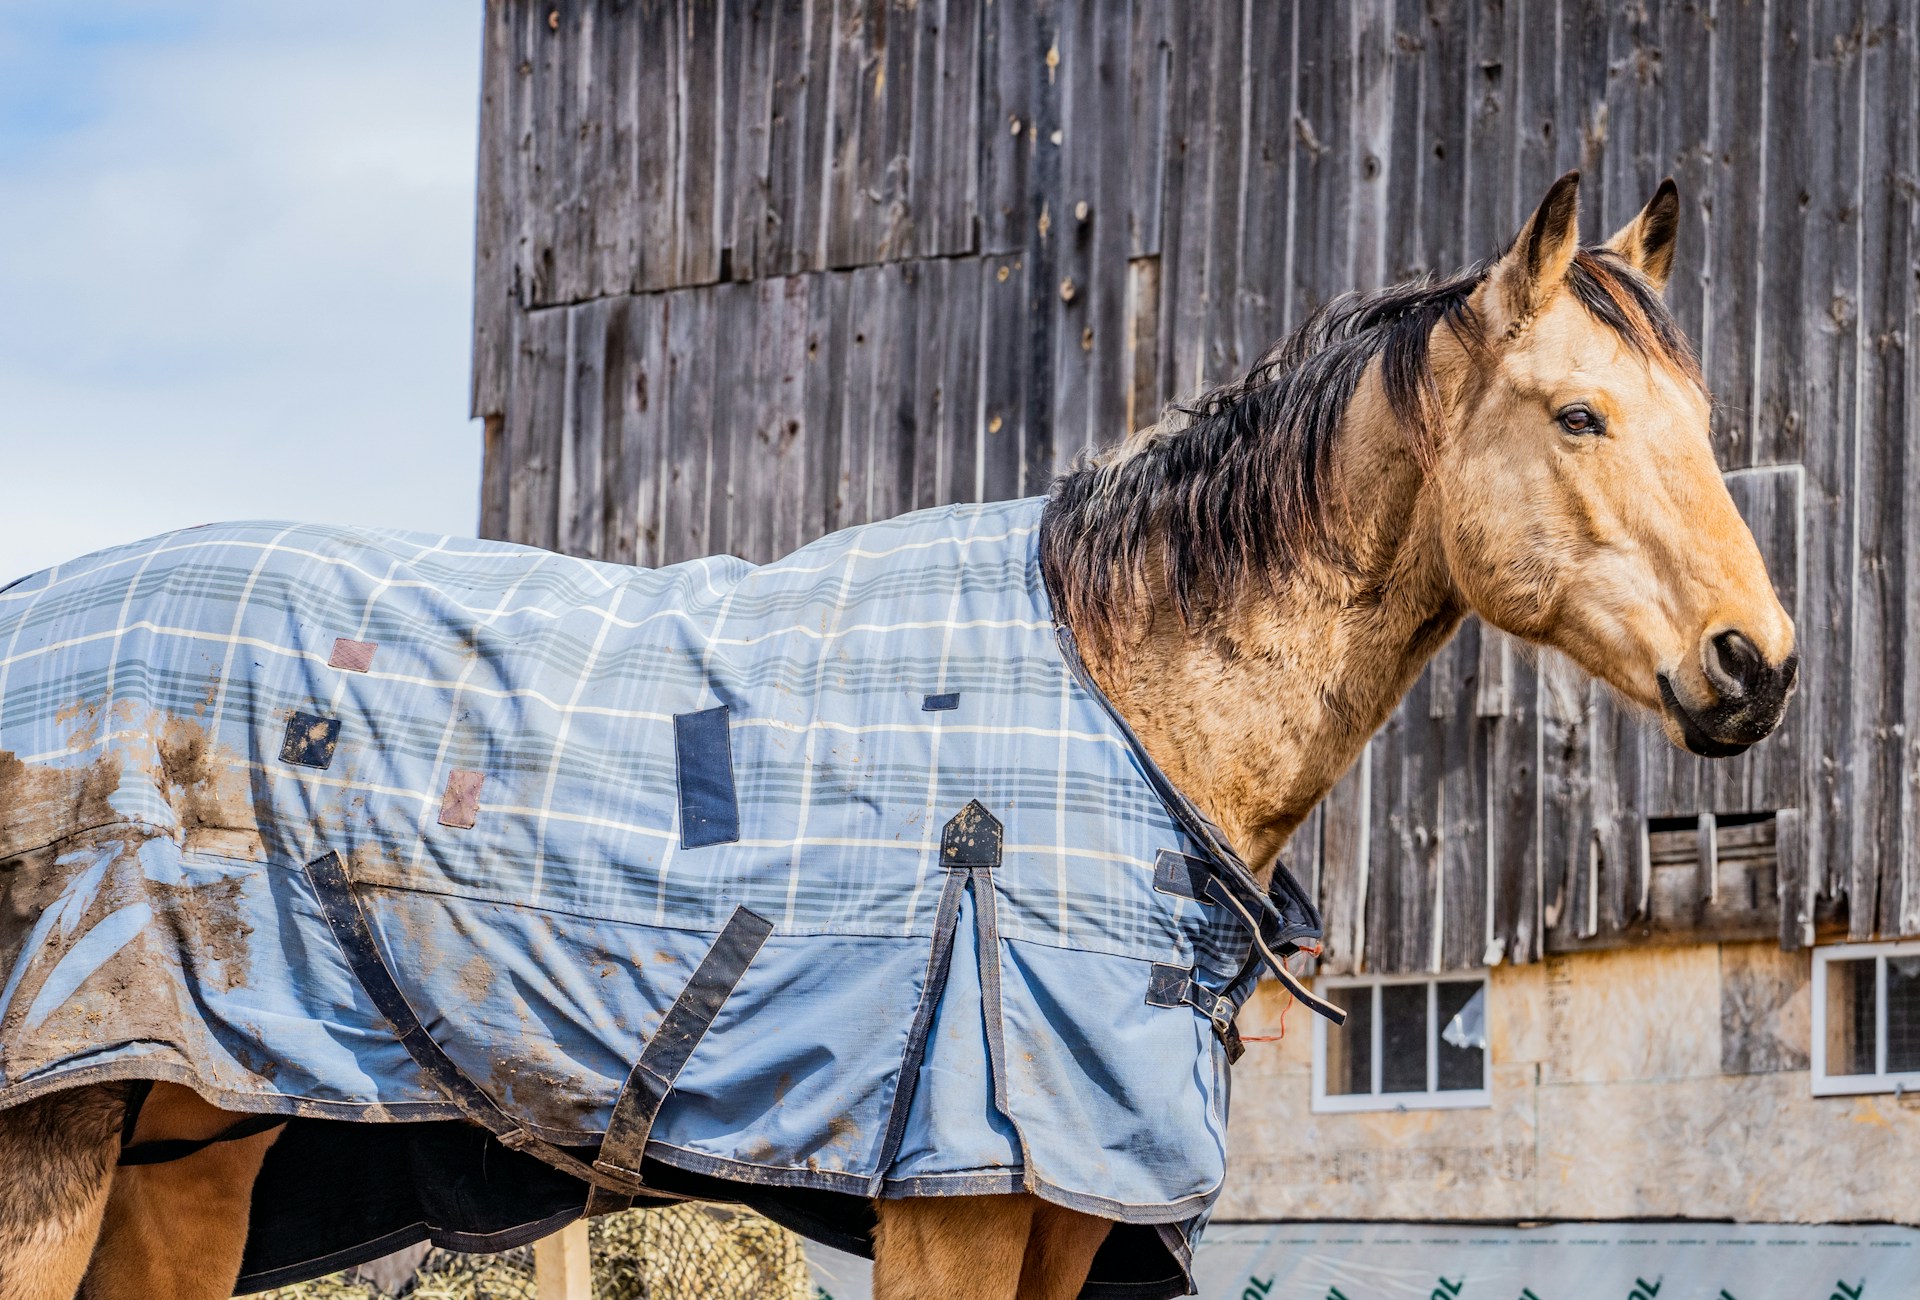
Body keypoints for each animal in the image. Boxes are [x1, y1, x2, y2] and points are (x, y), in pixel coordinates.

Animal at [0, 174, 1797, 1298]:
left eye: (1704, 420)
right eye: (1579, 415)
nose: (1759, 665)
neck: (1121, 696)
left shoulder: (1073, 1207)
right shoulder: (961, 1204)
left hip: (187, 1139)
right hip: (54, 1143)